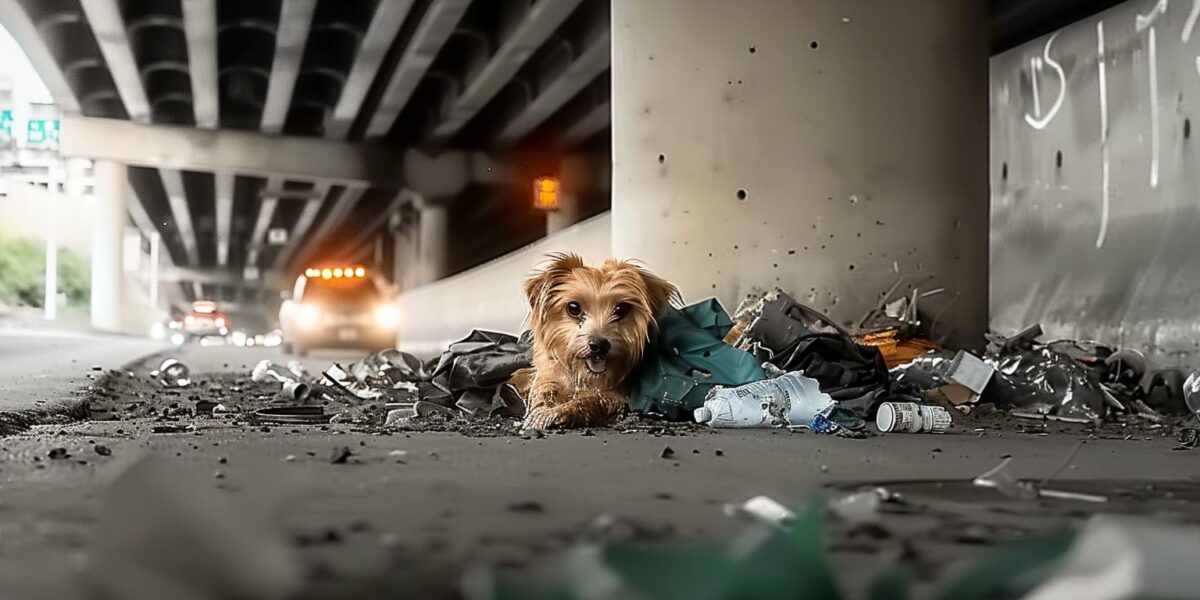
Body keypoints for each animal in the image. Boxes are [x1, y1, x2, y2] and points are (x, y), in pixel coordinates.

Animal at [520, 253, 681, 432]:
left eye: (621, 309)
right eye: (573, 308)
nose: (600, 345)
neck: (581, 377)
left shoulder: (615, 396)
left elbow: (591, 401)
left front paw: (559, 412)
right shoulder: (547, 376)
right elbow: (543, 391)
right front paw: (541, 411)